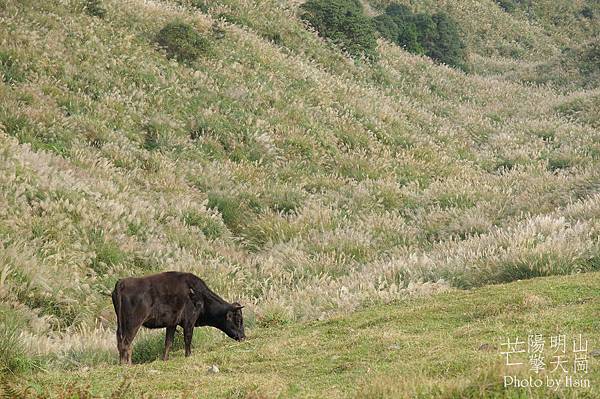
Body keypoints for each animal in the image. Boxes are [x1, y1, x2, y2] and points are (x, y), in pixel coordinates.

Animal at [111, 272, 245, 366]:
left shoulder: (172, 324)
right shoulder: (189, 321)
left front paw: (165, 359)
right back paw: (127, 365)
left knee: (120, 342)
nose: (243, 337)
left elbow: (168, 343)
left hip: (121, 324)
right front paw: (188, 356)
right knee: (126, 343)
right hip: (133, 324)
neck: (199, 295)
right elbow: (188, 339)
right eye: (238, 319)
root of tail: (122, 282)